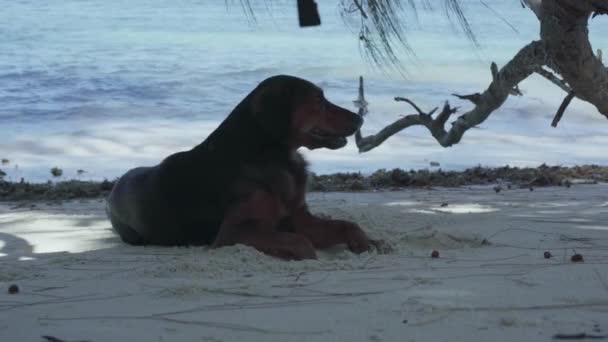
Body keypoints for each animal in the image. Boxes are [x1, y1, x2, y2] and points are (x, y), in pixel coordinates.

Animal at [107, 75, 384, 260]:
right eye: (318, 99)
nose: (360, 118)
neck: (276, 157)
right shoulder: (234, 232)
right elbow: (301, 241)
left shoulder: (299, 216)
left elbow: (346, 224)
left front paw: (368, 243)